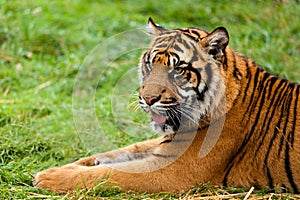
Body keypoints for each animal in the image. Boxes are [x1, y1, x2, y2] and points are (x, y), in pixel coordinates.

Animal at [33, 18, 300, 194]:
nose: (148, 98)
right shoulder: (164, 147)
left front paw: (48, 177)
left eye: (178, 70)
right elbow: (116, 153)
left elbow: (113, 173)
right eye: (150, 63)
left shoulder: (172, 170)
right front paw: (65, 166)